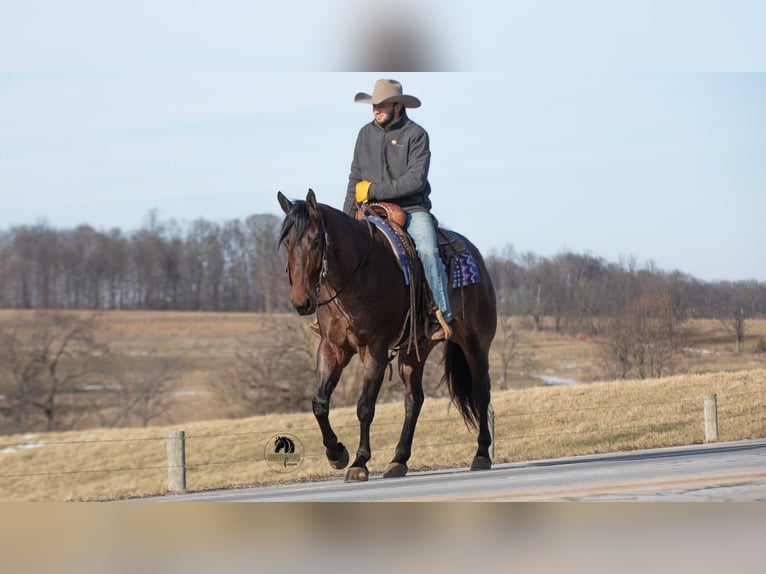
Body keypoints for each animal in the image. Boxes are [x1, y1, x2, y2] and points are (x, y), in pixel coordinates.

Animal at [277, 189, 497, 481]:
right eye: (287, 242)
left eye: (315, 240)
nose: (302, 302)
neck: (355, 274)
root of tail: (475, 254)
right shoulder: (331, 348)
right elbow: (319, 403)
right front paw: (336, 454)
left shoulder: (375, 350)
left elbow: (365, 407)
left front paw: (359, 462)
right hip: (414, 351)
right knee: (414, 399)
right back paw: (398, 460)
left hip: (475, 343)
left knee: (481, 390)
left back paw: (481, 454)